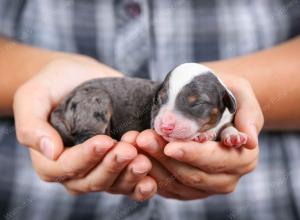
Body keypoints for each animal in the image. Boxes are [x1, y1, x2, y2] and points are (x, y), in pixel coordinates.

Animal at [50, 62, 247, 147]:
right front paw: (202, 136)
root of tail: (63, 103)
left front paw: (233, 135)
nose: (166, 126)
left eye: (197, 102)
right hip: (96, 99)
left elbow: (226, 126)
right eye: (159, 100)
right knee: (84, 137)